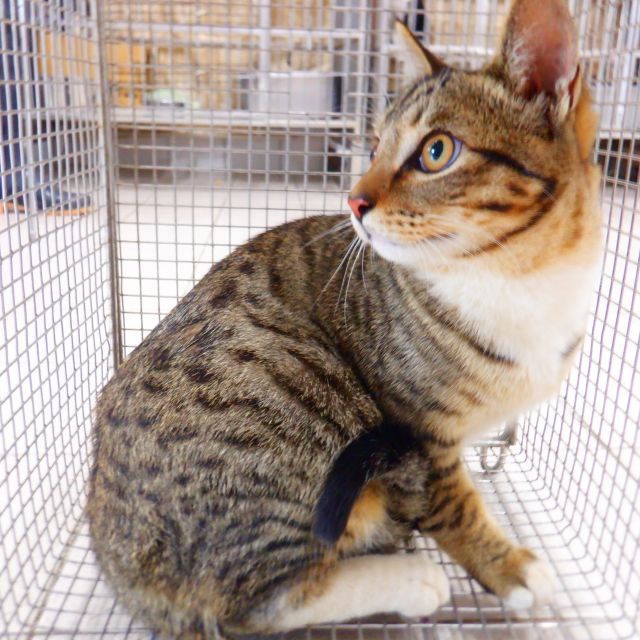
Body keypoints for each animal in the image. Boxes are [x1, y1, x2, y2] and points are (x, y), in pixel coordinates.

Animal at [87, 0, 603, 636]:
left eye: (436, 151)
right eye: (376, 145)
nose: (353, 201)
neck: (517, 278)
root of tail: (116, 558)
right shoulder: (417, 429)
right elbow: (452, 505)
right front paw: (507, 566)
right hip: (294, 410)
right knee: (253, 602)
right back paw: (413, 580)